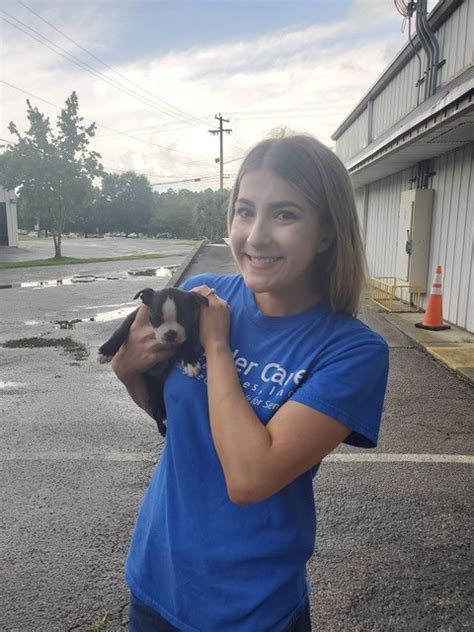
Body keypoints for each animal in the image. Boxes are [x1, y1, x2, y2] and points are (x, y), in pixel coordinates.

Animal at [98, 288, 207, 436]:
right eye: (156, 319)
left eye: (184, 319)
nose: (171, 333)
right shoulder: (134, 316)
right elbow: (121, 330)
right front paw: (106, 350)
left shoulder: (192, 330)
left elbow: (186, 343)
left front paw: (190, 362)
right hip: (152, 395)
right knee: (156, 413)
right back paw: (163, 429)